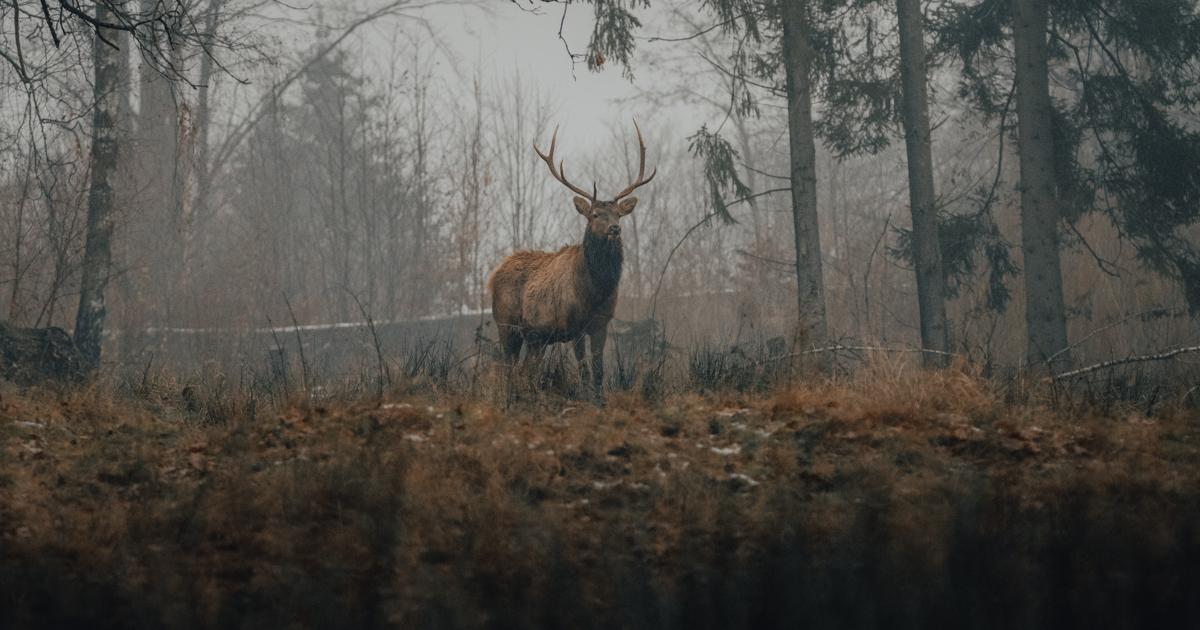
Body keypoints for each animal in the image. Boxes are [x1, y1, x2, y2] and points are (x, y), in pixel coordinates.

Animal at [487, 120, 657, 400]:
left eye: (618, 214)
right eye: (595, 214)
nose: (615, 229)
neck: (595, 291)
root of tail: (493, 275)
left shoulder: (601, 323)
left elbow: (598, 369)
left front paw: (600, 400)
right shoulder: (575, 324)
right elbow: (583, 368)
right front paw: (587, 398)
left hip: (536, 338)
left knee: (527, 369)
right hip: (506, 323)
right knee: (507, 367)